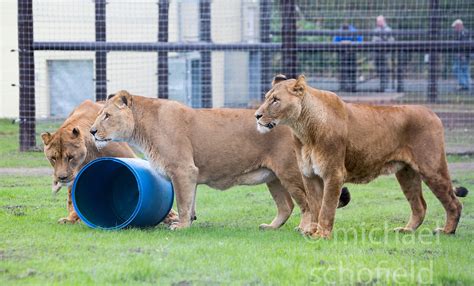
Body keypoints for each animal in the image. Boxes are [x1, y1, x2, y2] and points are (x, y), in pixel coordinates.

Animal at [89, 91, 350, 230]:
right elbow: (190, 200)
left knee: (307, 204)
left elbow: (182, 202)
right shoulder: (190, 174)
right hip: (273, 177)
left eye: (107, 115)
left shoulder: (183, 169)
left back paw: (304, 228)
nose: (91, 131)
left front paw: (181, 226)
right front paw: (190, 222)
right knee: (286, 206)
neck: (141, 128)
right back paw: (270, 227)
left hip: (291, 172)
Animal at [256, 74, 466, 239]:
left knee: (454, 203)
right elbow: (314, 205)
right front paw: (310, 231)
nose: (257, 116)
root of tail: (432, 112)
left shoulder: (334, 173)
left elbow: (326, 207)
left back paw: (447, 231)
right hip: (406, 173)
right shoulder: (309, 175)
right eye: (266, 98)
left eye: (275, 100)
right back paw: (406, 230)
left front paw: (321, 234)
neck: (303, 131)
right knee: (420, 205)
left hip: (432, 168)